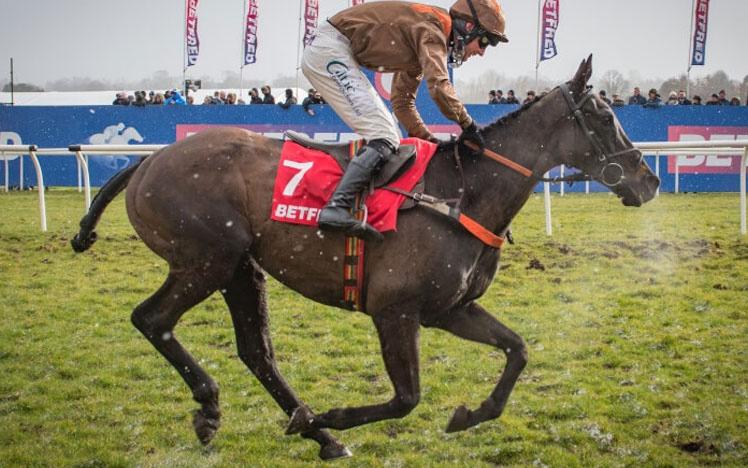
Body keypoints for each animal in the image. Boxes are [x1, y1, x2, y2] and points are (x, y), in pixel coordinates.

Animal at [68, 55, 656, 460]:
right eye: (603, 117)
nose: (647, 181)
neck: (461, 194)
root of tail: (150, 160)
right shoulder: (394, 310)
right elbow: (406, 398)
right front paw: (331, 416)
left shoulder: (449, 309)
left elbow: (517, 350)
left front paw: (470, 414)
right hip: (205, 260)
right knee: (153, 319)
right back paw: (220, 409)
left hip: (240, 267)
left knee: (256, 352)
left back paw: (319, 436)